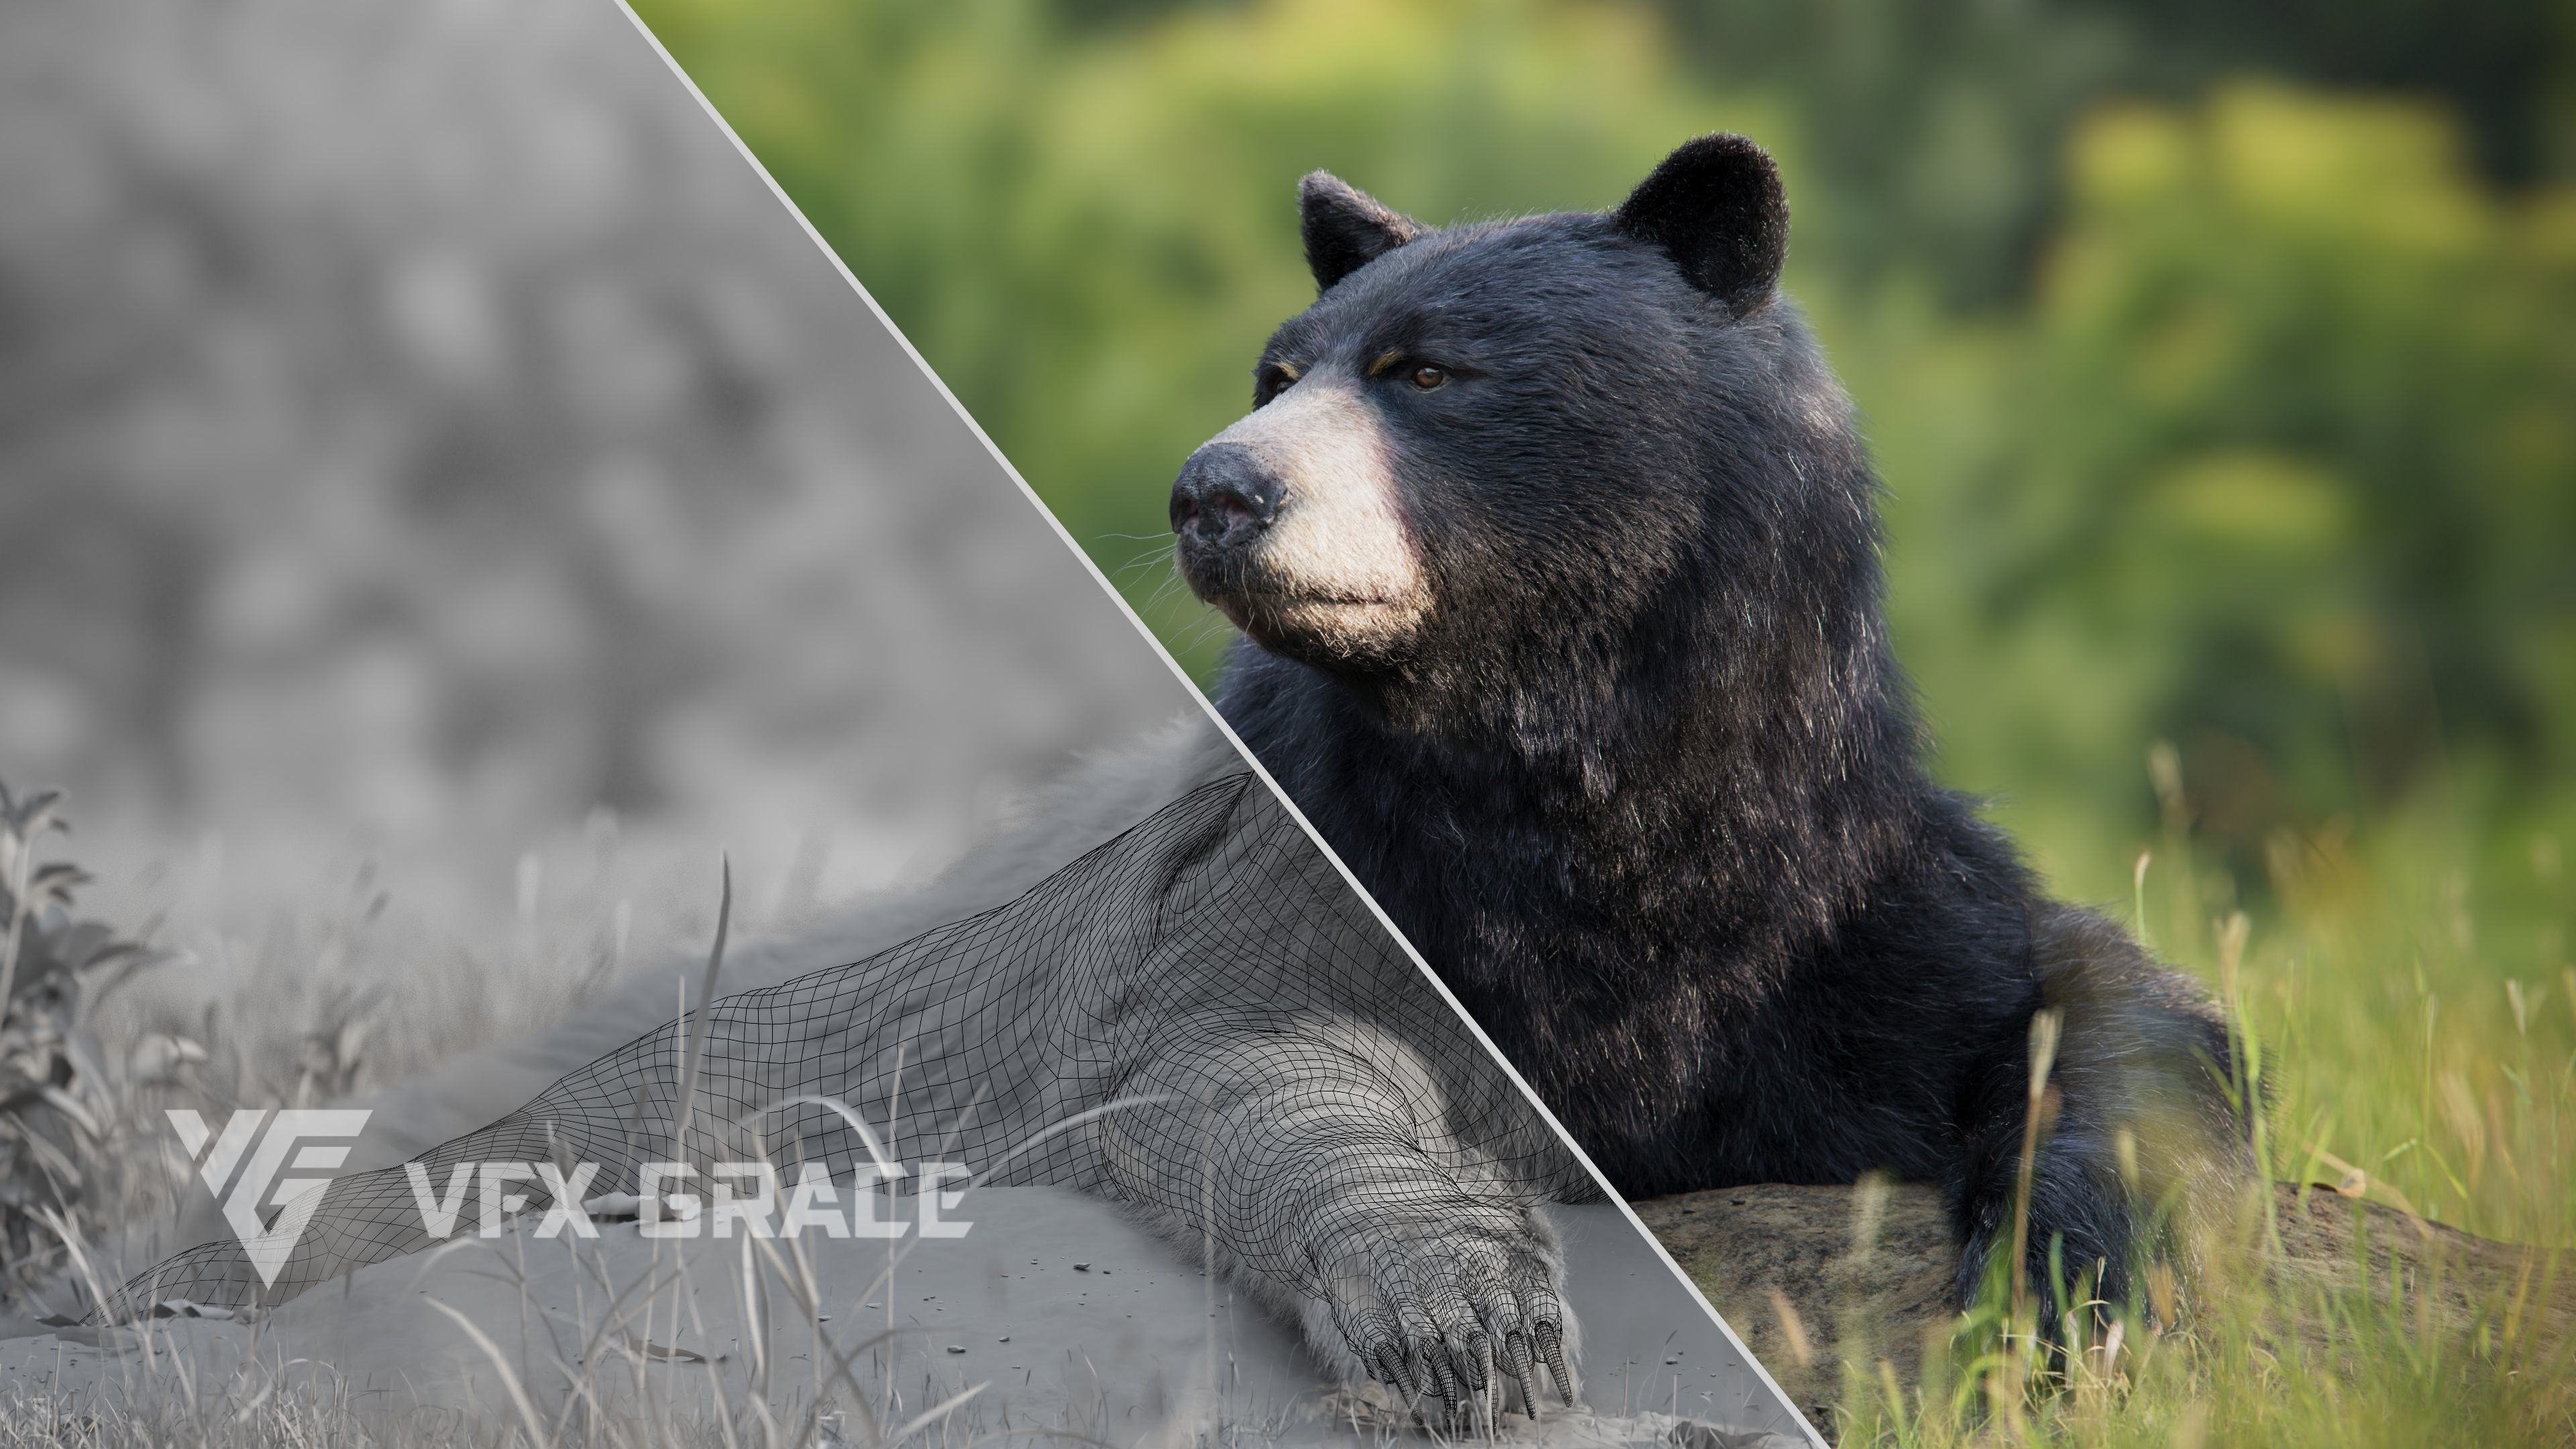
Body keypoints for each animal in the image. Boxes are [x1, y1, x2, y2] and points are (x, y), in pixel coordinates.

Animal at [1170, 133, 2251, 1332]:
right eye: (1277, 378)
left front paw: (2066, 1286)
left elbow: (2097, 999)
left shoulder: (1843, 903)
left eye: (1425, 372)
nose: (1215, 493)